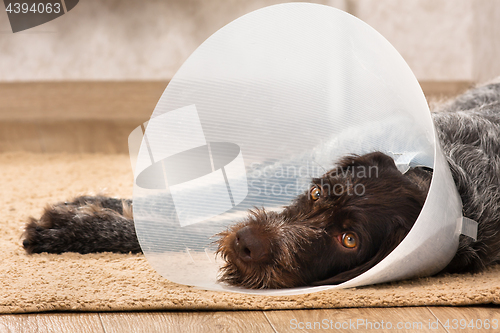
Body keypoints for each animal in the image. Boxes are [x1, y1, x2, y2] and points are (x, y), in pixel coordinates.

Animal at [21, 79, 500, 286]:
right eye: (317, 193)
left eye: (349, 240)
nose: (249, 243)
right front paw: (83, 216)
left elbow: (183, 229)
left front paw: (79, 224)